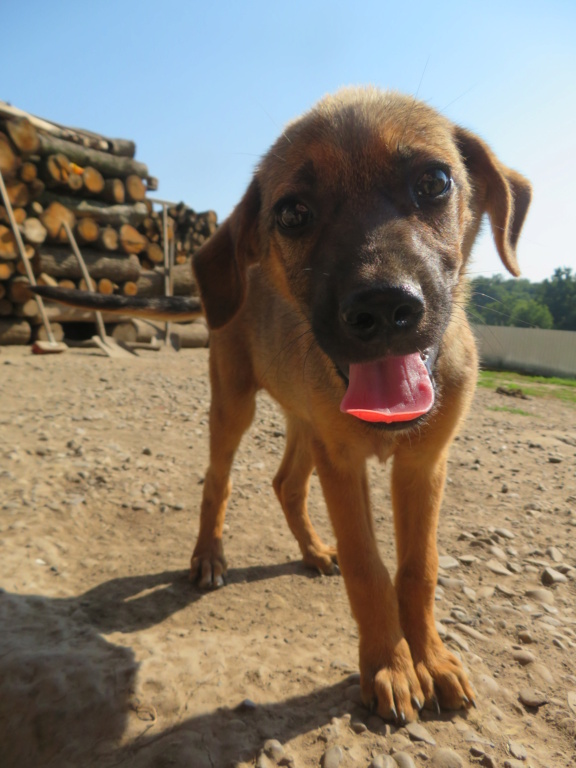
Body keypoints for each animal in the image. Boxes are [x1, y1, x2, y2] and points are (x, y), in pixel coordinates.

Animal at [35, 88, 532, 720]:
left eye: (435, 181)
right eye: (292, 214)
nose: (383, 308)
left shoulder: (423, 464)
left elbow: (418, 569)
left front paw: (432, 659)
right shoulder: (342, 463)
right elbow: (368, 568)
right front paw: (390, 666)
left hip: (303, 419)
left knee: (286, 484)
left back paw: (314, 550)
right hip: (235, 403)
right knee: (217, 480)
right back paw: (209, 557)